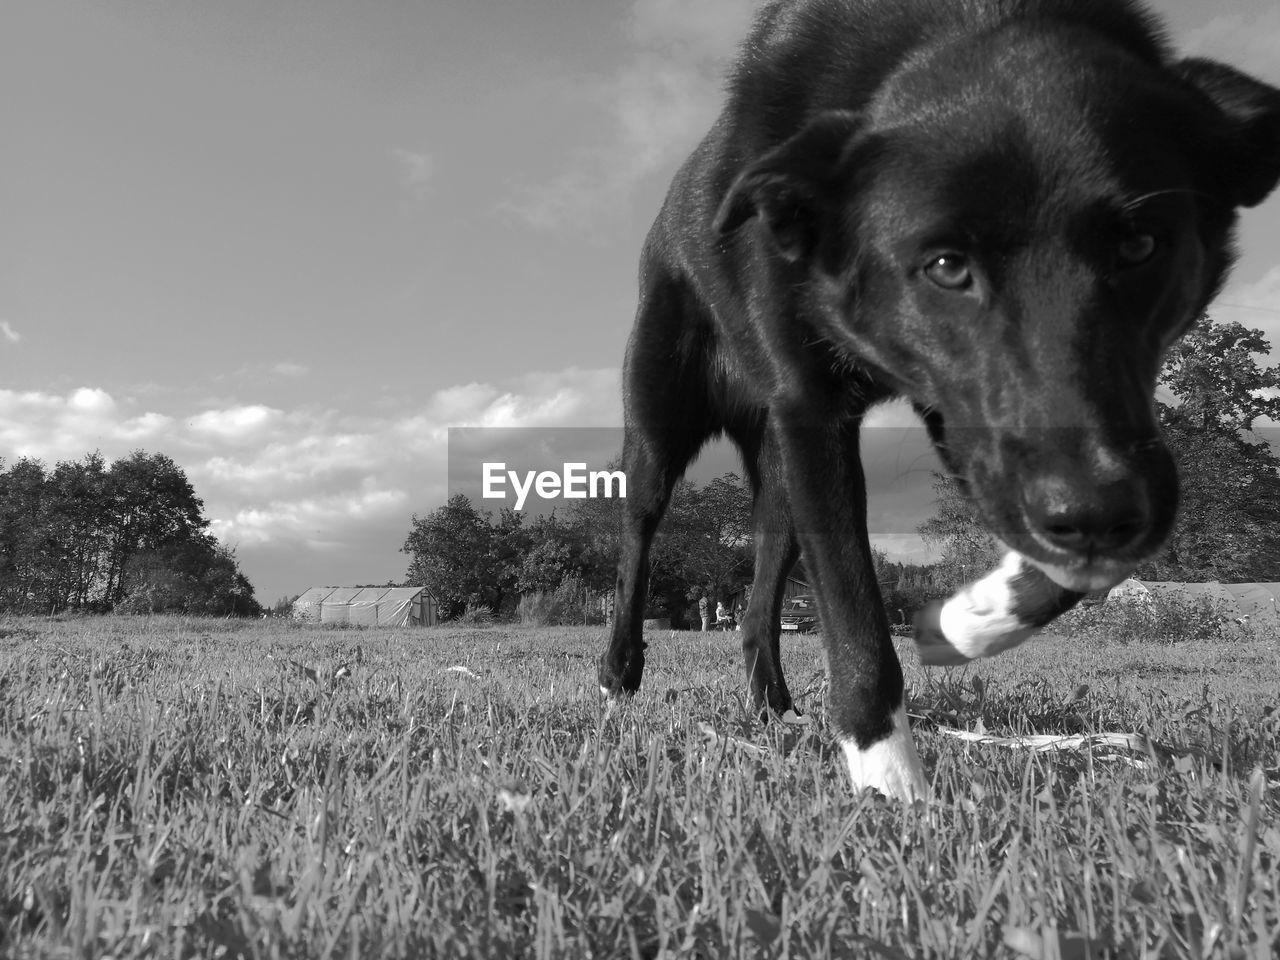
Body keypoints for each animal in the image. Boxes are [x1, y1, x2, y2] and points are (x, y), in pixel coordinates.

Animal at [599, 0, 1280, 803]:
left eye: (1141, 245)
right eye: (947, 266)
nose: (1098, 512)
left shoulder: (984, 425)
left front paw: (970, 619)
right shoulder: (814, 412)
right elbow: (854, 616)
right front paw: (889, 780)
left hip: (780, 485)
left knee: (759, 596)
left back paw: (773, 707)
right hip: (660, 423)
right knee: (638, 538)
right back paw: (617, 677)